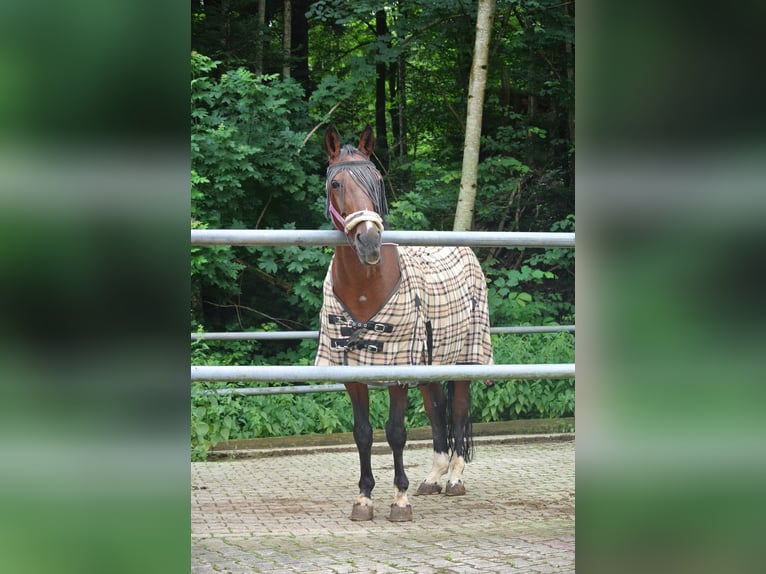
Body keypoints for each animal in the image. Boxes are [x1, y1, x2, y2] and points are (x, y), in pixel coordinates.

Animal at [316, 125, 496, 520]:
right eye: (336, 183)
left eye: (377, 179)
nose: (369, 241)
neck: (366, 289)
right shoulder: (354, 374)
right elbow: (363, 432)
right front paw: (364, 497)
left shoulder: (398, 370)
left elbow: (396, 431)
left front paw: (400, 499)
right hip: (430, 364)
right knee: (436, 411)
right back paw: (432, 477)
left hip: (465, 359)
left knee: (459, 412)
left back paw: (454, 478)